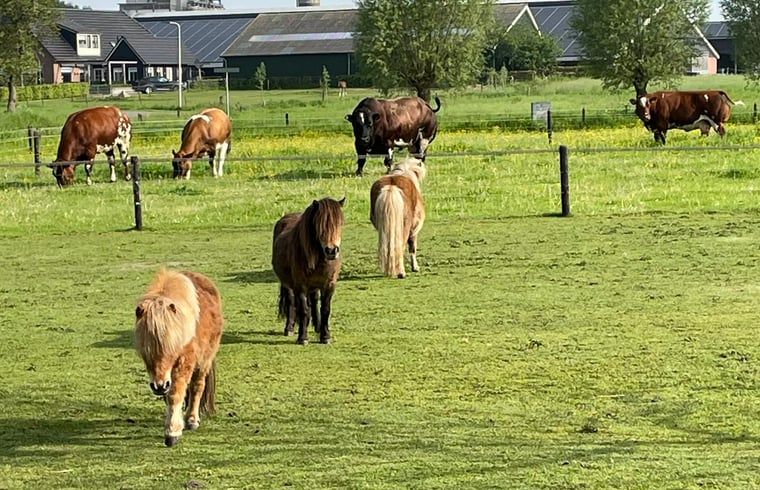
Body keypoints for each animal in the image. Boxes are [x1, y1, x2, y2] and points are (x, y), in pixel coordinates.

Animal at [134, 269, 224, 447]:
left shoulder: (184, 363)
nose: (159, 386)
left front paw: (172, 432)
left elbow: (176, 394)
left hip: (204, 360)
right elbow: (170, 396)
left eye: (172, 349)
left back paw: (192, 419)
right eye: (145, 351)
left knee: (197, 387)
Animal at [272, 197, 345, 344]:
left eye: (340, 223)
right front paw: (303, 337)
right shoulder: (301, 286)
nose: (331, 251)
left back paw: (317, 327)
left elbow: (325, 309)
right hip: (288, 284)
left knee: (314, 300)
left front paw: (325, 336)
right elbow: (304, 310)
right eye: (319, 226)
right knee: (291, 301)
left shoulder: (329, 285)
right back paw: (289, 328)